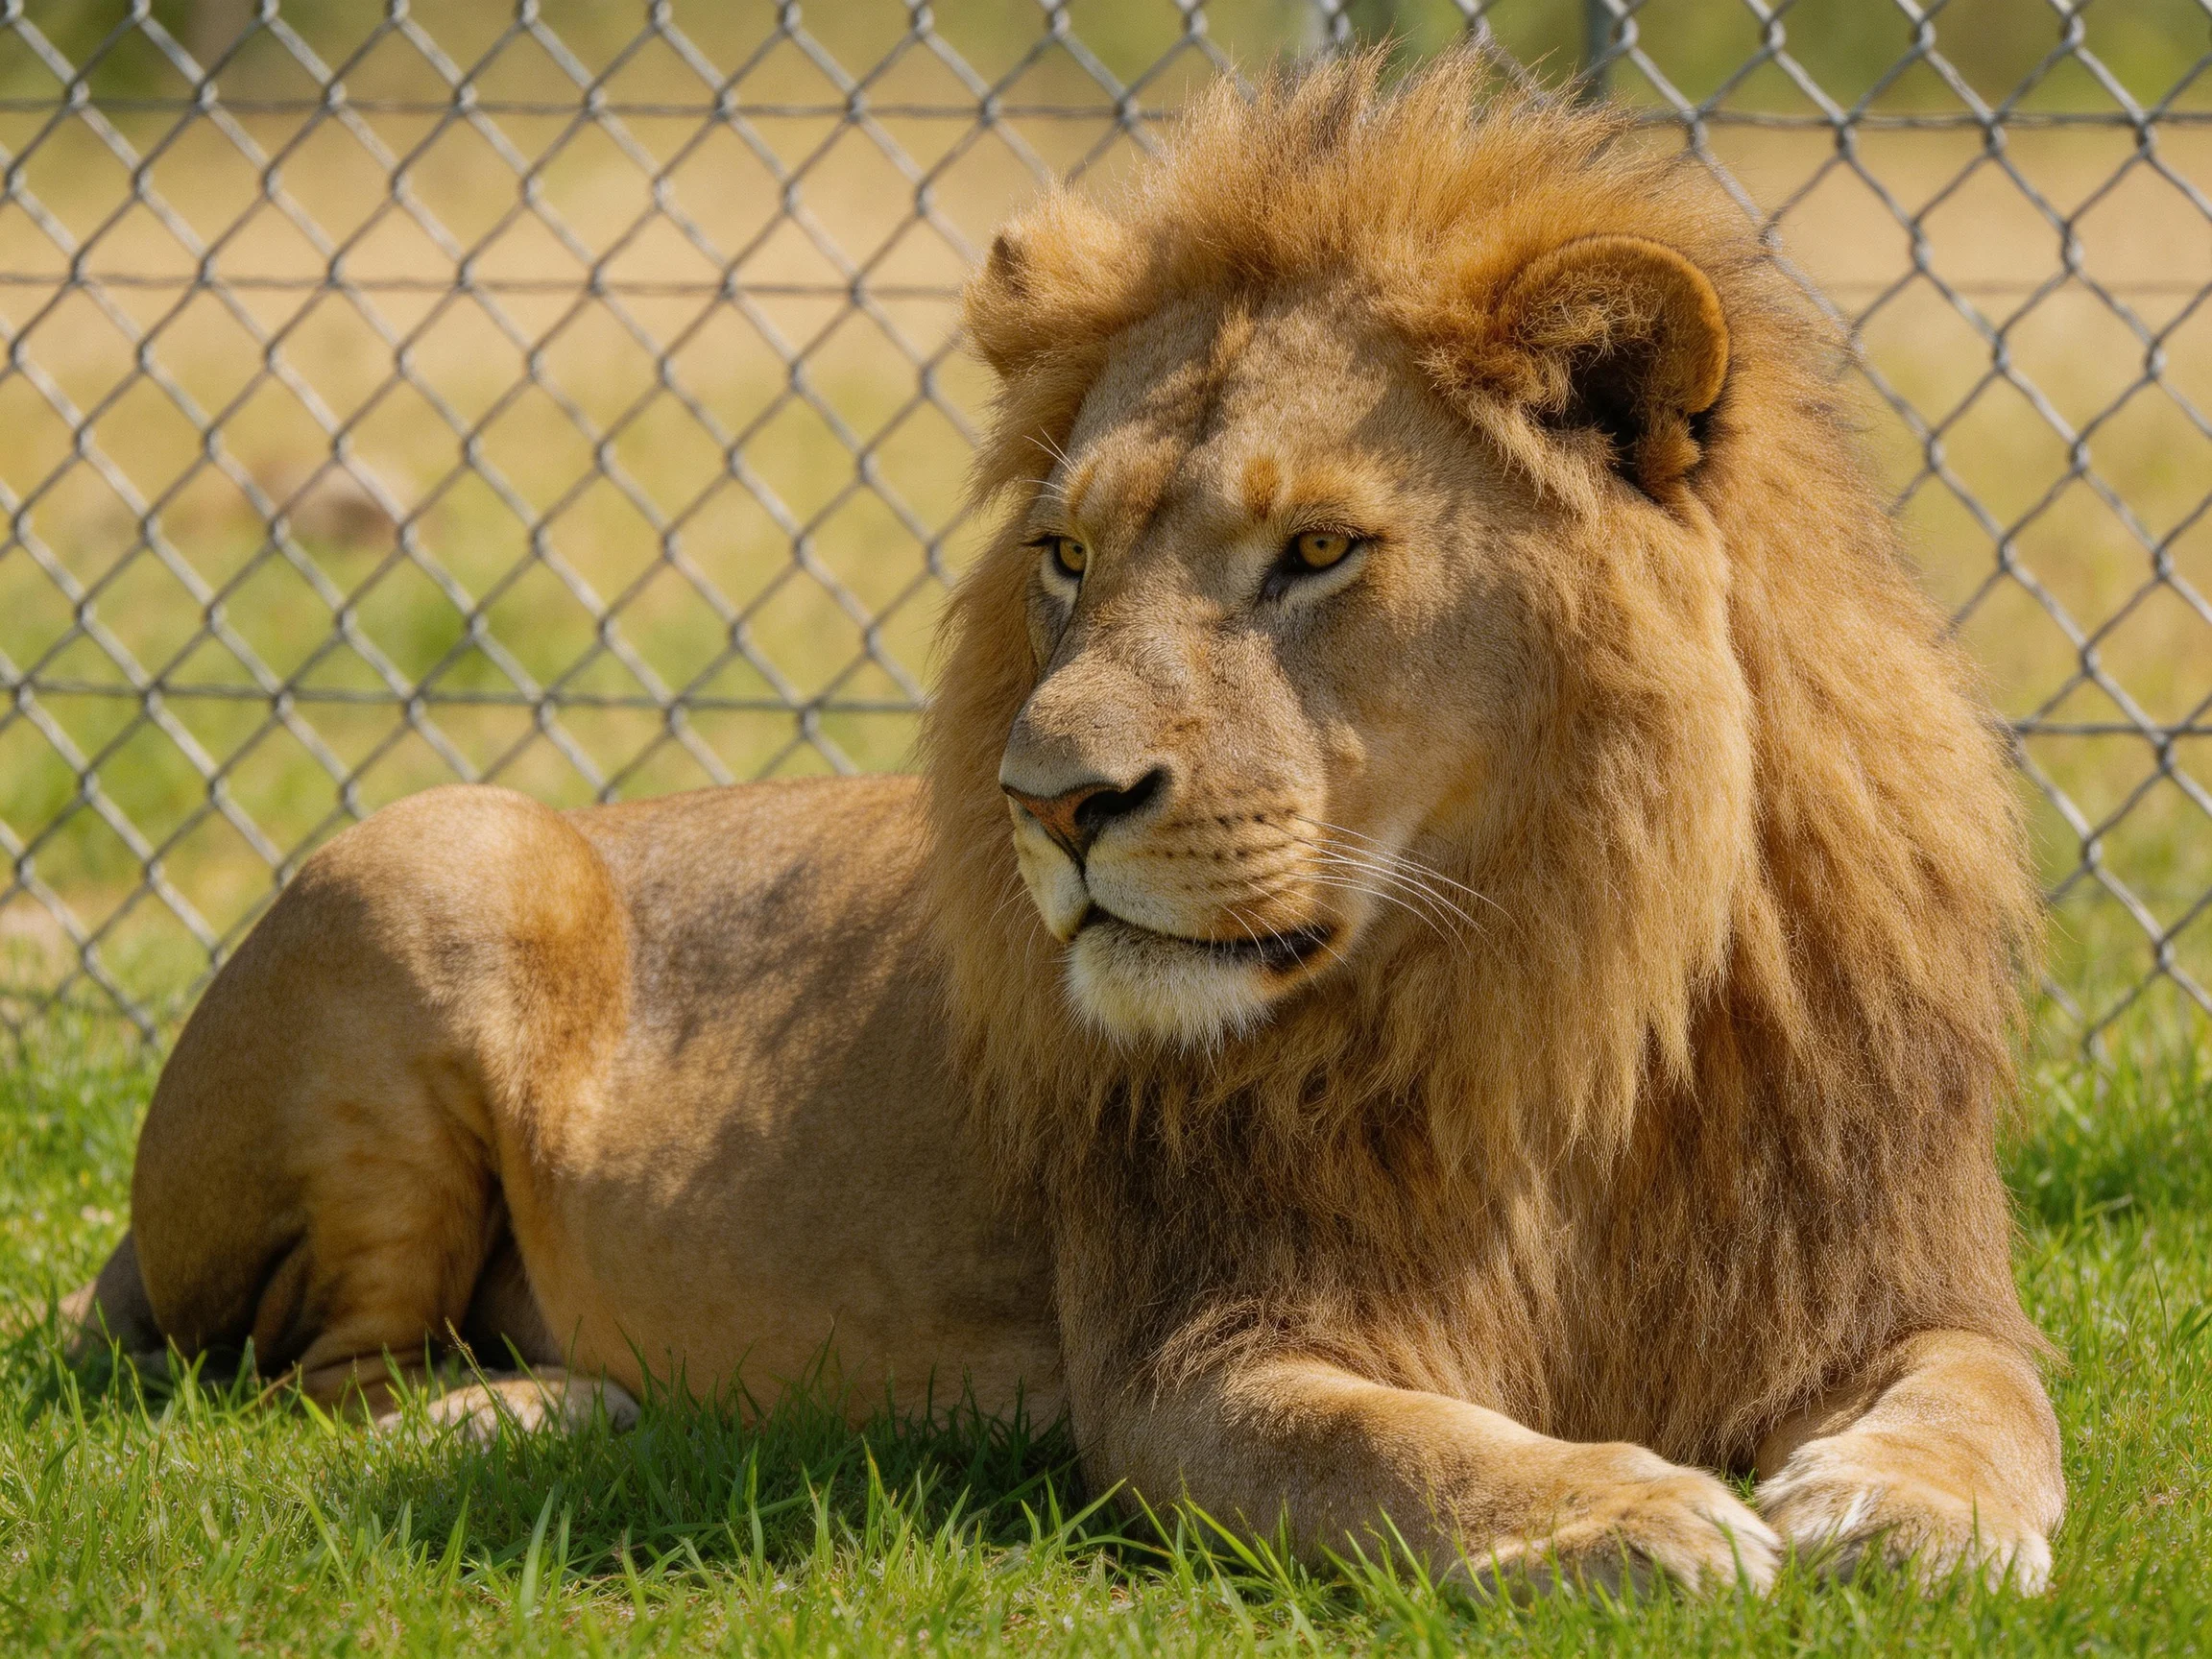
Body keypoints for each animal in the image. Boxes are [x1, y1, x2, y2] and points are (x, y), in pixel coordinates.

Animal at [66, 52, 2063, 1594]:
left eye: (1315, 548)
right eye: (1067, 556)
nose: (1045, 801)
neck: (1546, 989)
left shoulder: (1899, 1272)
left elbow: (1997, 1393)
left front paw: (1906, 1508)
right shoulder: (1195, 1353)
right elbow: (1404, 1452)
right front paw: (1623, 1509)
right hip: (441, 853)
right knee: (314, 1378)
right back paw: (543, 1399)